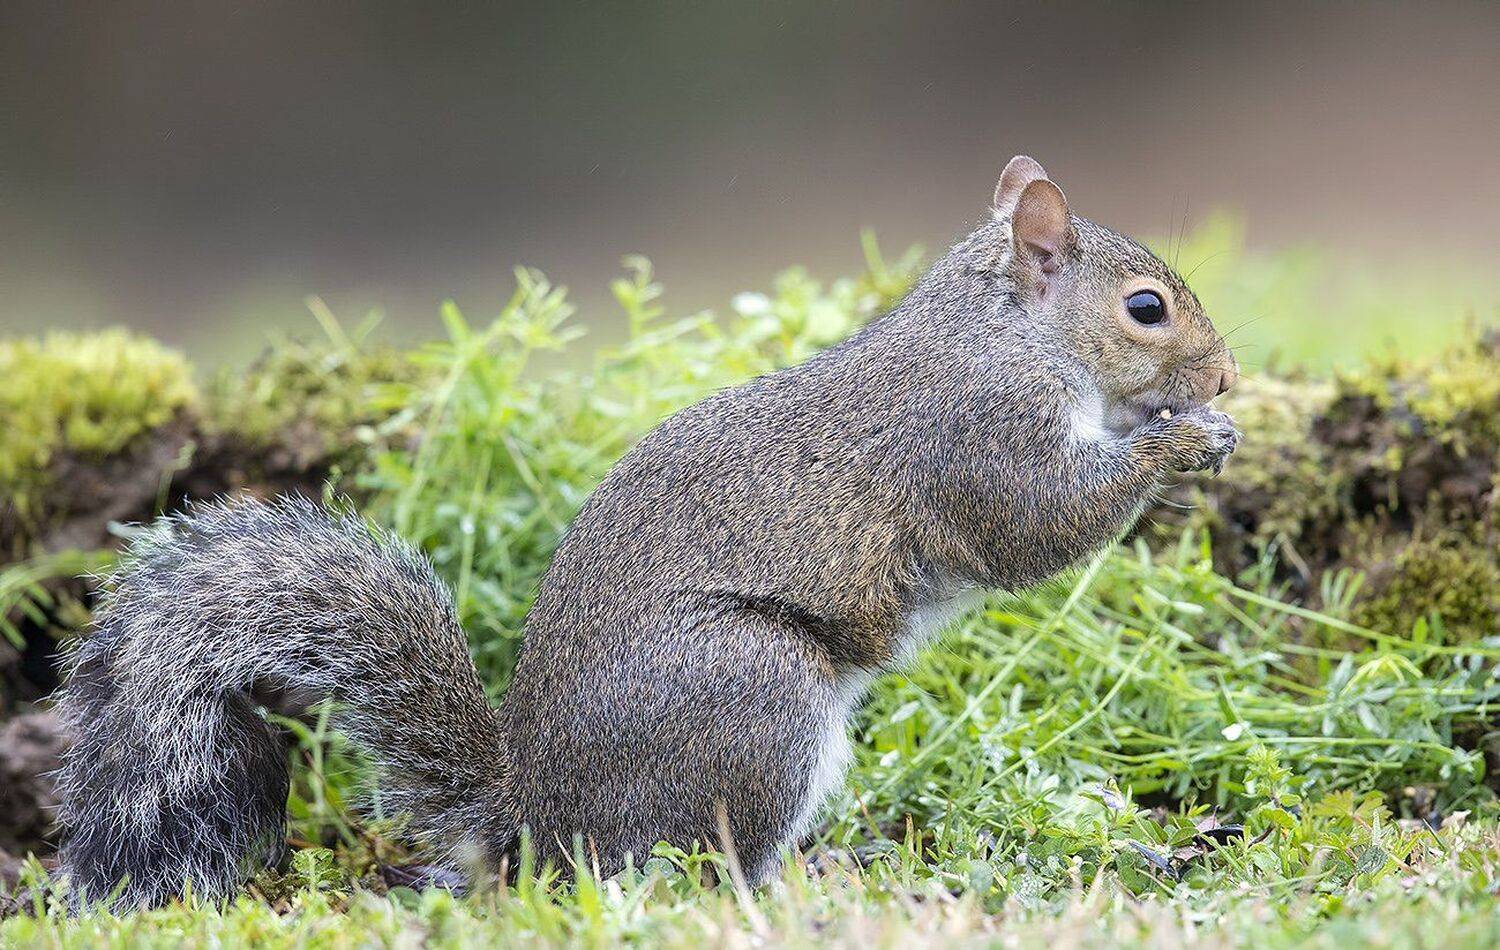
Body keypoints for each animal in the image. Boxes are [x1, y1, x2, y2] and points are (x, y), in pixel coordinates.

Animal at [53, 156, 1239, 908]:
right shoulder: (979, 433)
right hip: (753, 696)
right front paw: (1183, 440)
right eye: (1145, 308)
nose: (1227, 377)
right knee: (688, 871)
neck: (1010, 334)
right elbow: (1035, 528)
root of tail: (537, 822)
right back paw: (798, 881)